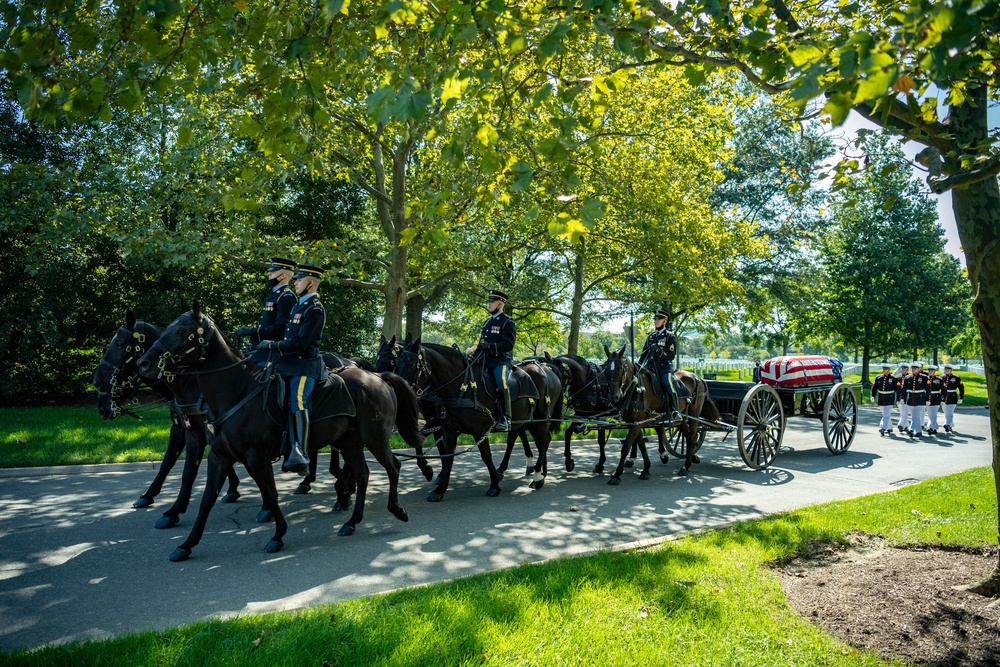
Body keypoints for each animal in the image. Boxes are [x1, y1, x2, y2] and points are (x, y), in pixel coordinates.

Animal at [92, 312, 246, 528]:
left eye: (120, 343)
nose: (97, 381)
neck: (190, 383)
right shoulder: (183, 428)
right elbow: (168, 461)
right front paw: (148, 495)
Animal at [138, 304, 422, 564]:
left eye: (181, 330)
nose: (145, 363)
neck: (237, 390)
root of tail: (378, 377)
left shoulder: (256, 457)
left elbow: (271, 494)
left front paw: (278, 534)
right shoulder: (218, 455)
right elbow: (206, 498)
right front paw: (186, 544)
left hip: (375, 437)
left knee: (393, 467)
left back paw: (395, 509)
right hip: (349, 440)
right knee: (362, 473)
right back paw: (351, 521)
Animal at [600, 344, 720, 486]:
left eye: (621, 368)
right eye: (606, 370)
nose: (613, 396)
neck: (636, 388)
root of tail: (698, 377)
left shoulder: (637, 423)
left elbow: (626, 446)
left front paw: (617, 475)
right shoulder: (635, 423)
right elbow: (641, 445)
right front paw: (646, 469)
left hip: (694, 414)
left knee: (692, 436)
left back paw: (686, 466)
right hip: (681, 418)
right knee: (688, 434)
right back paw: (692, 458)